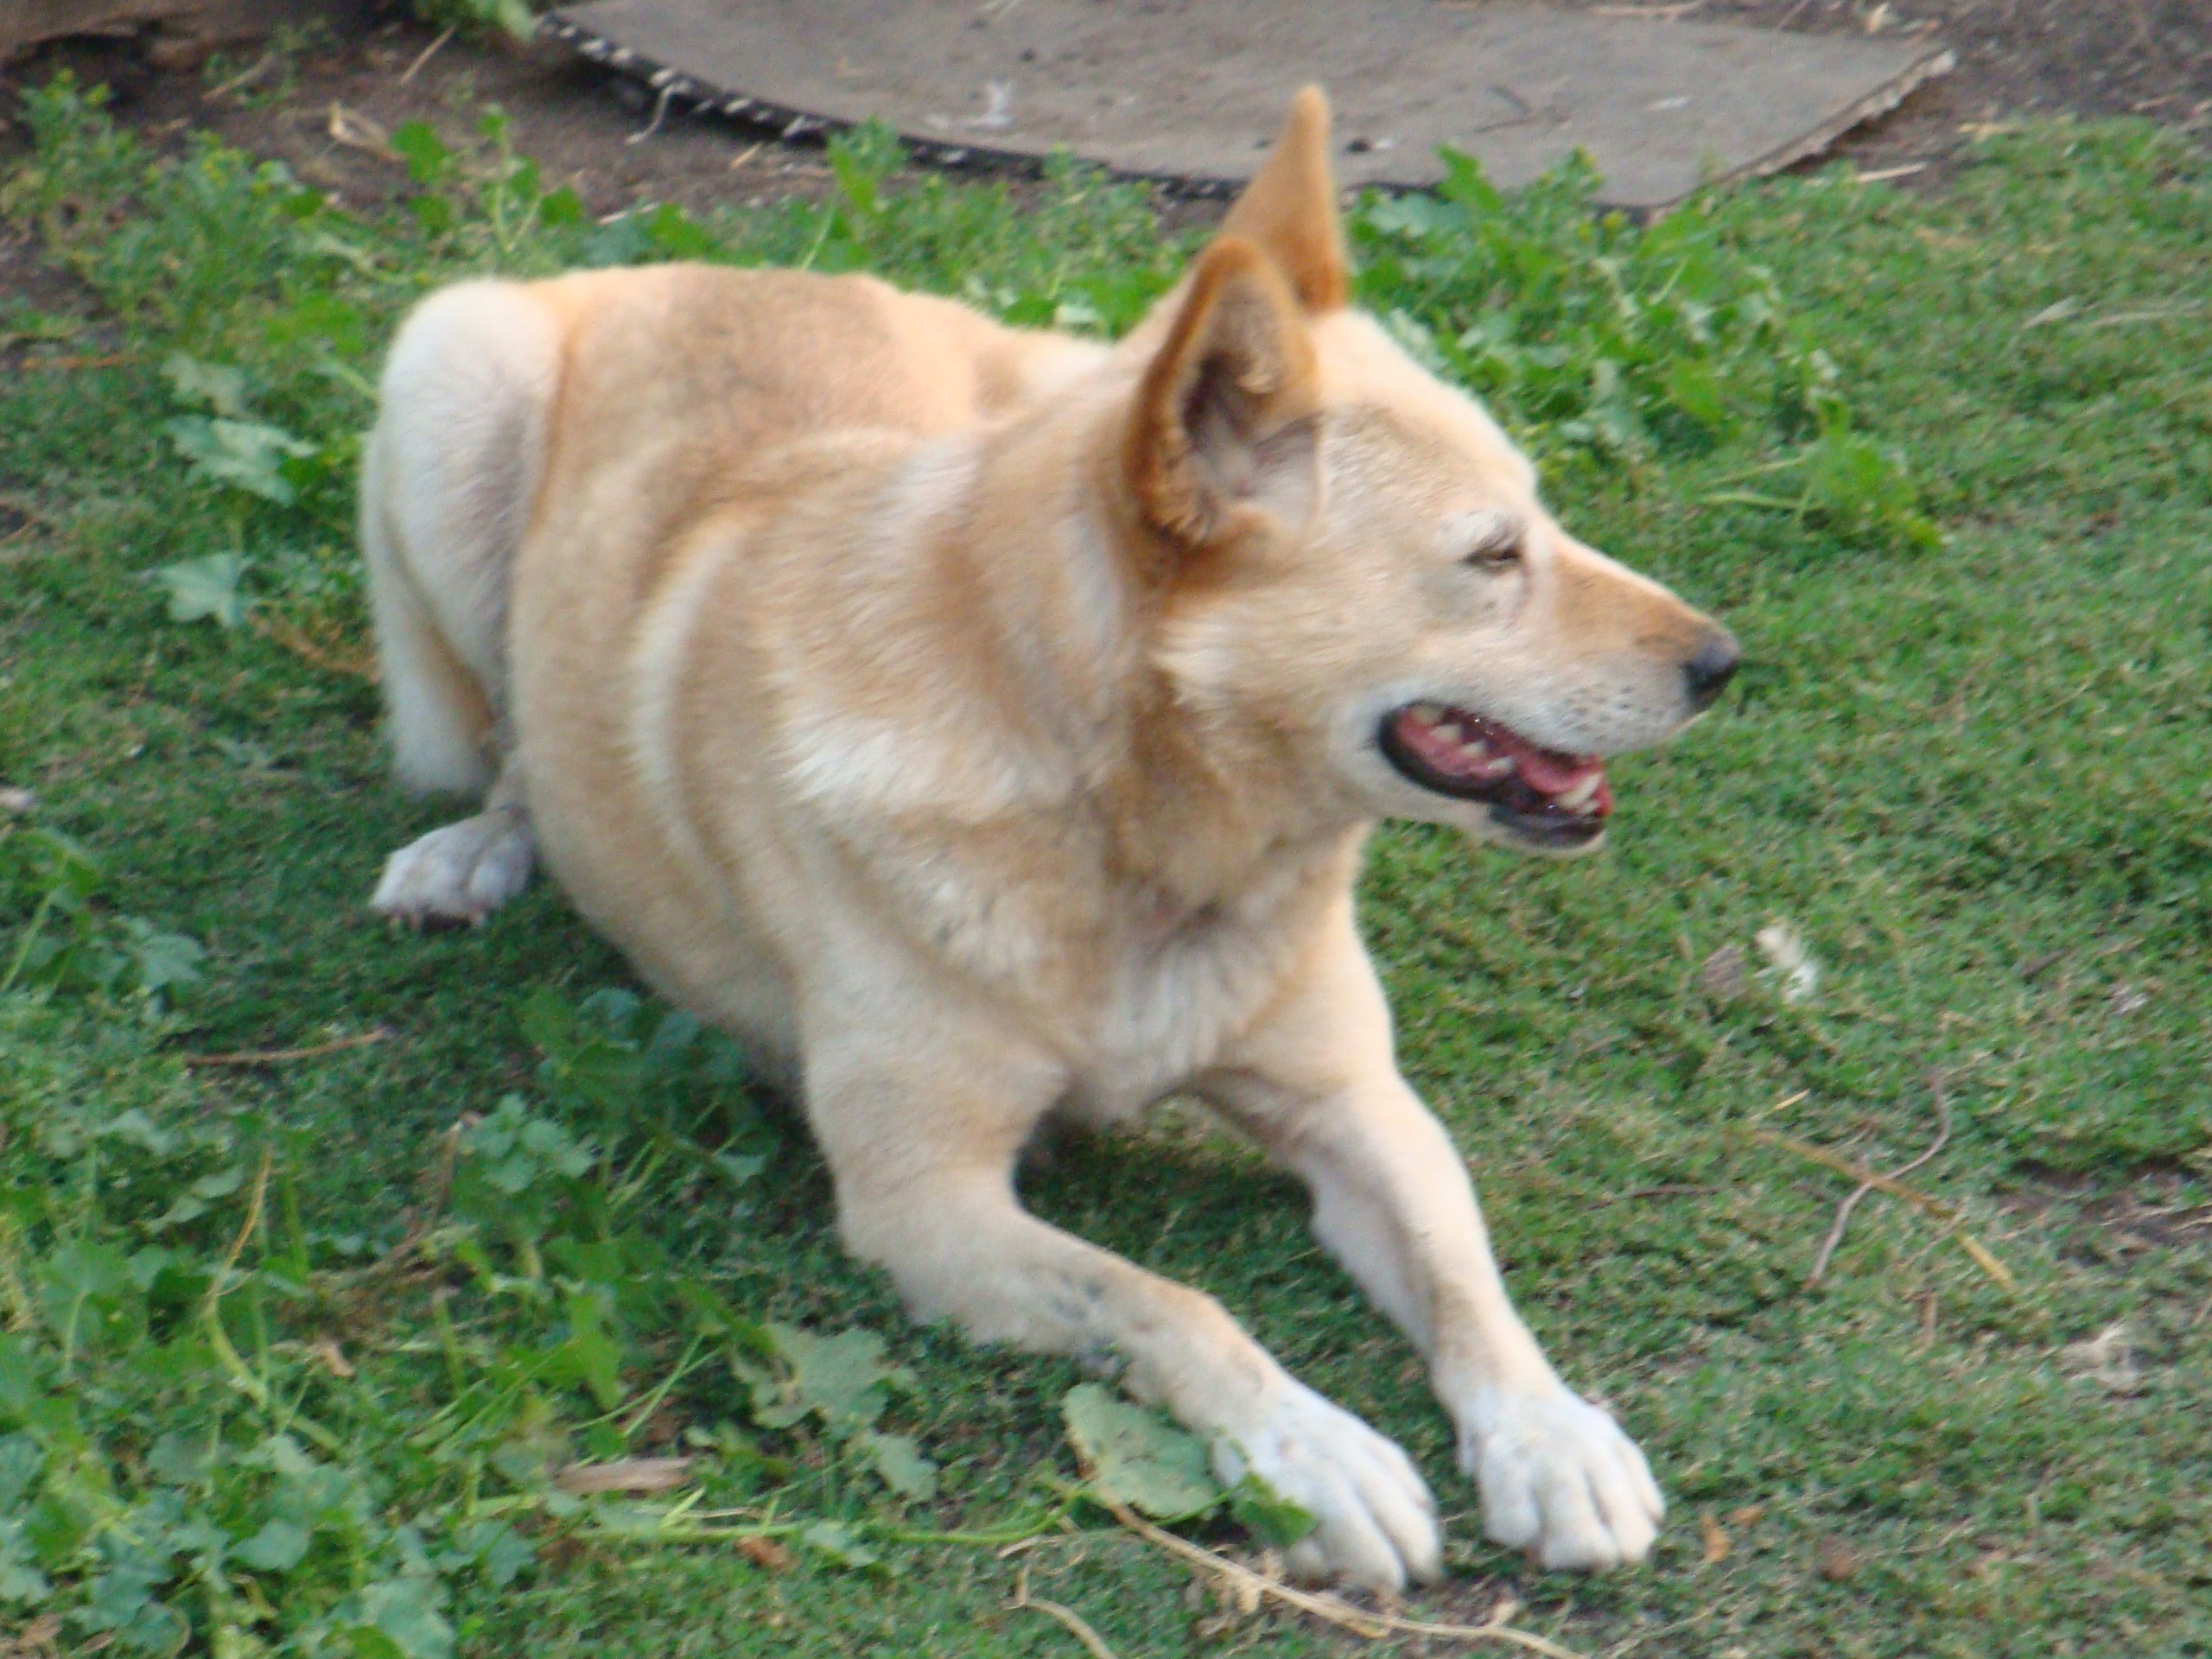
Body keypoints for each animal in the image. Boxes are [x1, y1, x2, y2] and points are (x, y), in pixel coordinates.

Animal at [359, 89, 1737, 1589]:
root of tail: (729, 265)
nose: (1726, 663)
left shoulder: (1355, 1102)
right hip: (444, 382)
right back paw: (479, 848)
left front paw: (1550, 1437)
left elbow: (1457, 1262)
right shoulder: (921, 1202)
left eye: (1541, 517)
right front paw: (1313, 1454)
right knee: (507, 737)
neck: (1133, 836)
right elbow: (1165, 1301)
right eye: (1493, 557)